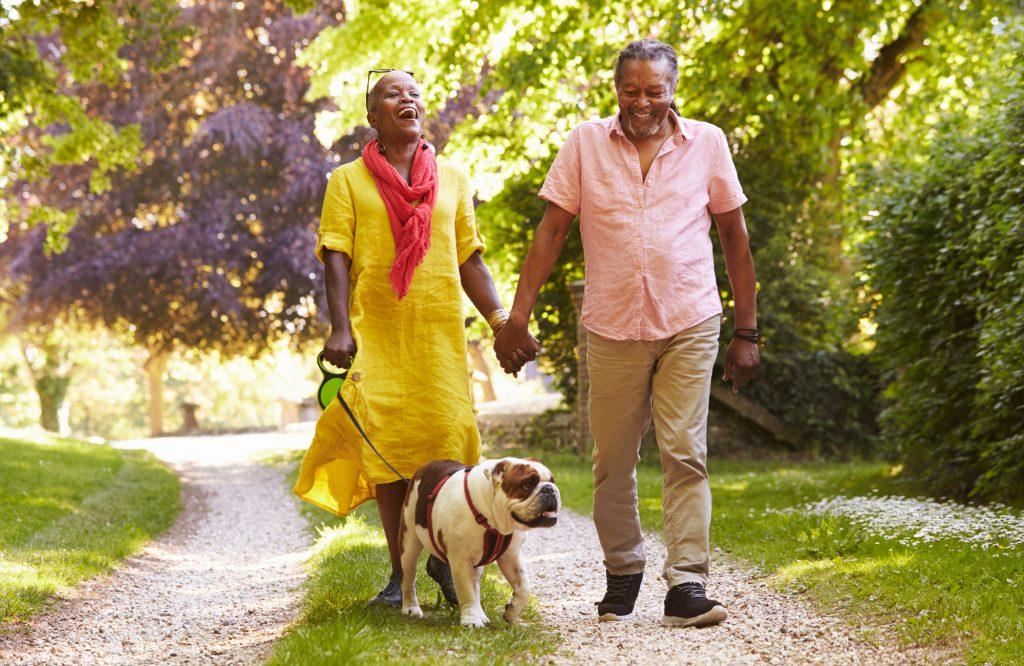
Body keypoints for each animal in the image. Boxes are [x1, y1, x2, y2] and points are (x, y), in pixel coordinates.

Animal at [397, 452, 561, 627]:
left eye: (552, 481)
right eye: (527, 484)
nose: (549, 489)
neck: (490, 516)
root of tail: (426, 466)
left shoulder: (511, 556)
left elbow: (524, 587)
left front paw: (511, 612)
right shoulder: (461, 560)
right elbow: (466, 590)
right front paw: (472, 619)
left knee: (475, 583)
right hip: (409, 543)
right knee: (408, 577)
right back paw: (411, 608)